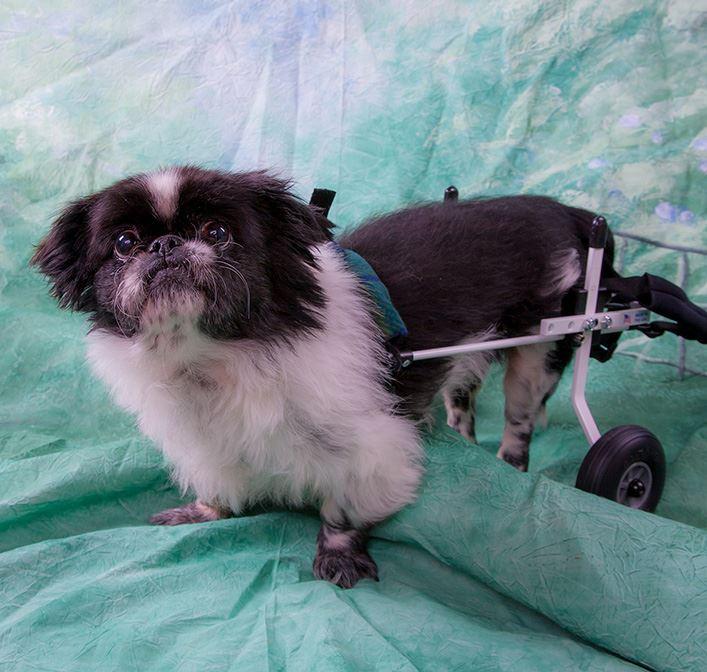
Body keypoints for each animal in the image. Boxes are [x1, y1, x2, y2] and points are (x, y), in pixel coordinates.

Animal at [30, 167, 616, 588]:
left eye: (218, 232)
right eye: (125, 244)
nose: (165, 245)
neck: (215, 354)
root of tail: (569, 214)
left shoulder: (369, 447)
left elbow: (344, 507)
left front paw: (338, 555)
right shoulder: (207, 442)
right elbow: (217, 485)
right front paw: (201, 512)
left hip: (539, 349)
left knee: (520, 419)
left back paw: (511, 465)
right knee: (461, 397)